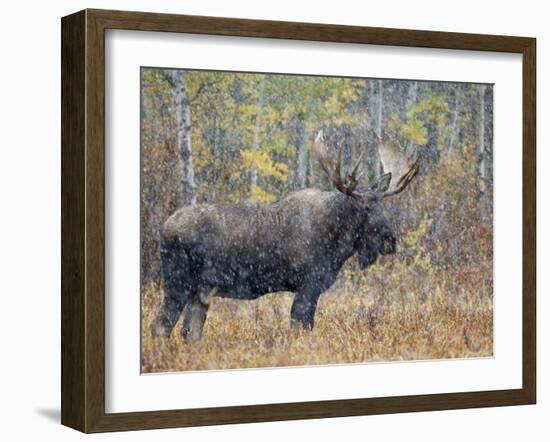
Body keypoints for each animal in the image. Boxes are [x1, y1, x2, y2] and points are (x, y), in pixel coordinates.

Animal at [151, 129, 418, 340]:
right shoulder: (309, 285)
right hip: (178, 282)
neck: (338, 244)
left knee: (189, 332)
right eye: (364, 208)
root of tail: (163, 229)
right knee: (160, 326)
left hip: (200, 291)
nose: (390, 241)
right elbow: (301, 327)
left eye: (382, 205)